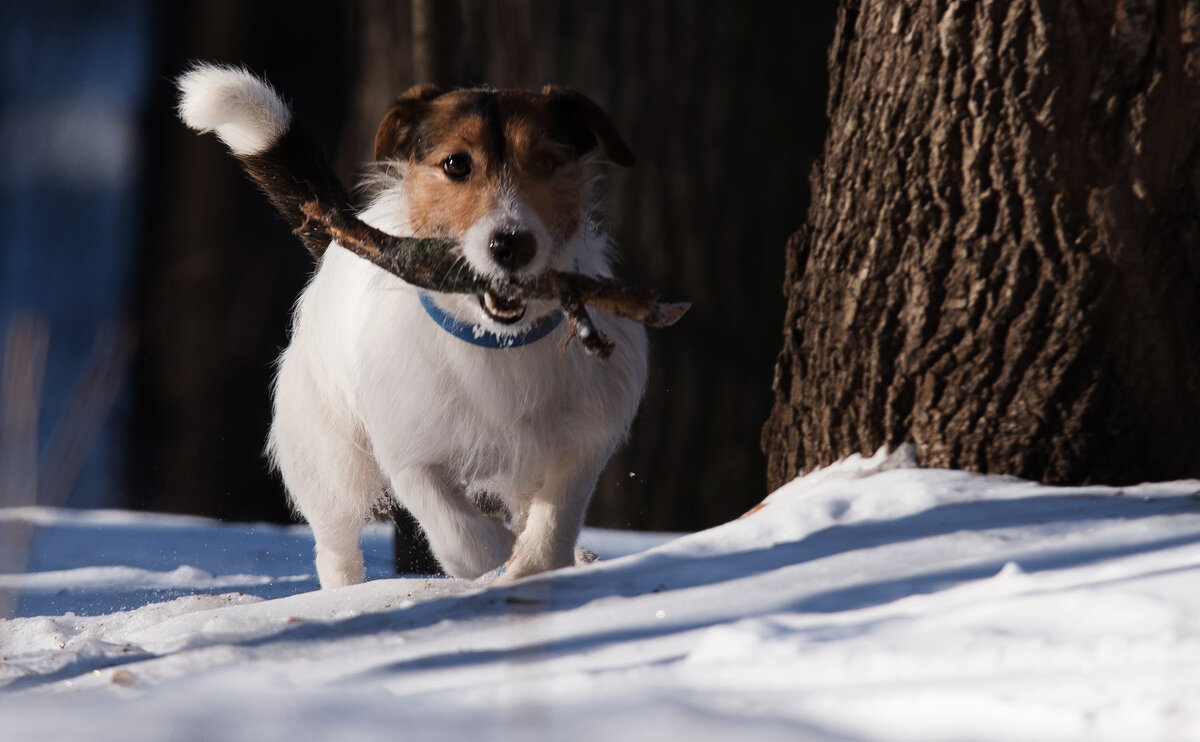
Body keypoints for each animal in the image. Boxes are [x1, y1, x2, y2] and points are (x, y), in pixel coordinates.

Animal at [175, 65, 648, 583]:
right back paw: (346, 591)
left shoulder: (583, 436)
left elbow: (556, 509)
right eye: (456, 165)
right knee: (336, 544)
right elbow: (457, 530)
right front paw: (496, 553)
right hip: (331, 460)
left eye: (546, 162)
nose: (510, 244)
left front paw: (540, 561)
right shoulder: (409, 453)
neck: (494, 341)